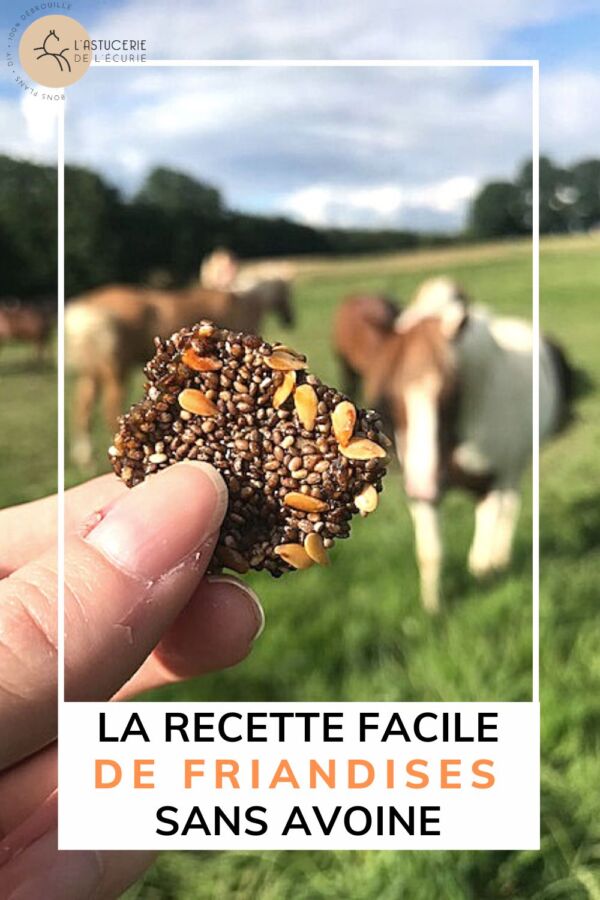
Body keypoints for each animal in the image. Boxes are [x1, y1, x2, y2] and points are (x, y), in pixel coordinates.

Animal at [352, 277, 574, 613]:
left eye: (452, 390)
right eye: (390, 393)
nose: (423, 486)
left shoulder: (488, 482)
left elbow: (481, 554)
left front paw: (487, 576)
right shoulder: (425, 492)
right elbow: (430, 553)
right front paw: (433, 608)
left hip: (517, 464)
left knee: (510, 504)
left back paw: (500, 556)